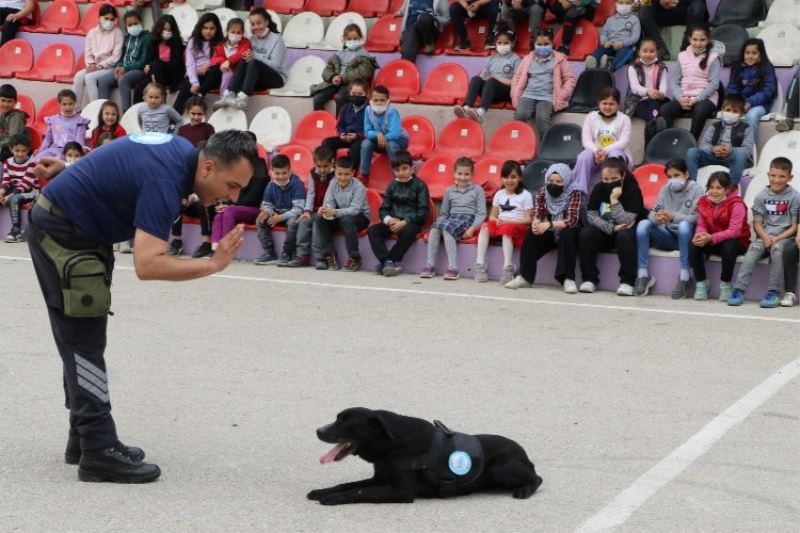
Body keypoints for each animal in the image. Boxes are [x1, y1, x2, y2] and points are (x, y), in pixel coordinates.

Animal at [308, 408, 544, 502]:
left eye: (346, 424)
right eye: (337, 418)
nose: (318, 431)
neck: (392, 443)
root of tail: (525, 456)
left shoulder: (401, 491)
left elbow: (358, 492)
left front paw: (332, 498)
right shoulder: (379, 478)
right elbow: (348, 485)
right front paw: (323, 491)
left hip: (501, 467)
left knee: (538, 478)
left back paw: (524, 489)